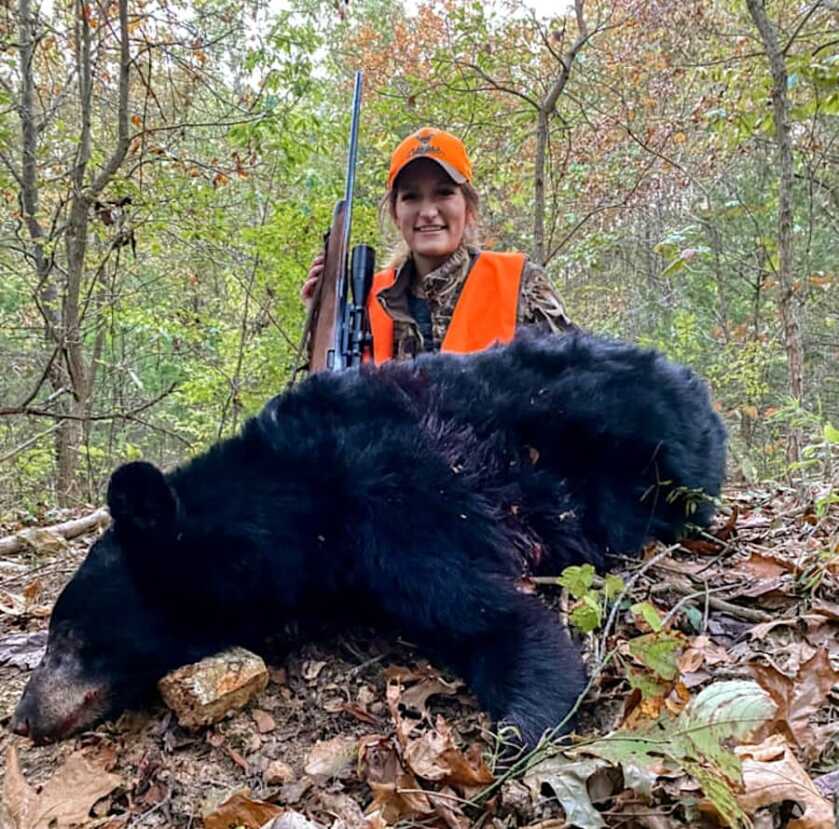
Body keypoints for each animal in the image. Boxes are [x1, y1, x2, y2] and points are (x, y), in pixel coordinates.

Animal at [11, 330, 726, 747]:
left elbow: (494, 616)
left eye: (68, 634)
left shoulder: (395, 503)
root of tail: (695, 383)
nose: (22, 716)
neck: (291, 506)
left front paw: (526, 719)